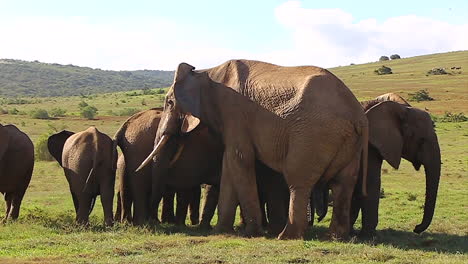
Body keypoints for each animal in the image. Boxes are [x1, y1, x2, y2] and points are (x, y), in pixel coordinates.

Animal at [139, 60, 370, 239]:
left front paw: (251, 232)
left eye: (169, 102)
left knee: (298, 180)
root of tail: (358, 114)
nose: (154, 222)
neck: (206, 72)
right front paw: (221, 231)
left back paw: (285, 236)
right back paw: (336, 236)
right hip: (349, 142)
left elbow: (240, 158)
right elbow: (229, 164)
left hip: (313, 134)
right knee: (343, 184)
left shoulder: (234, 113)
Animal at [312, 93, 440, 237]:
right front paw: (368, 236)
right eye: (421, 140)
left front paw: (352, 233)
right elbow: (370, 182)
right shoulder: (366, 143)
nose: (416, 228)